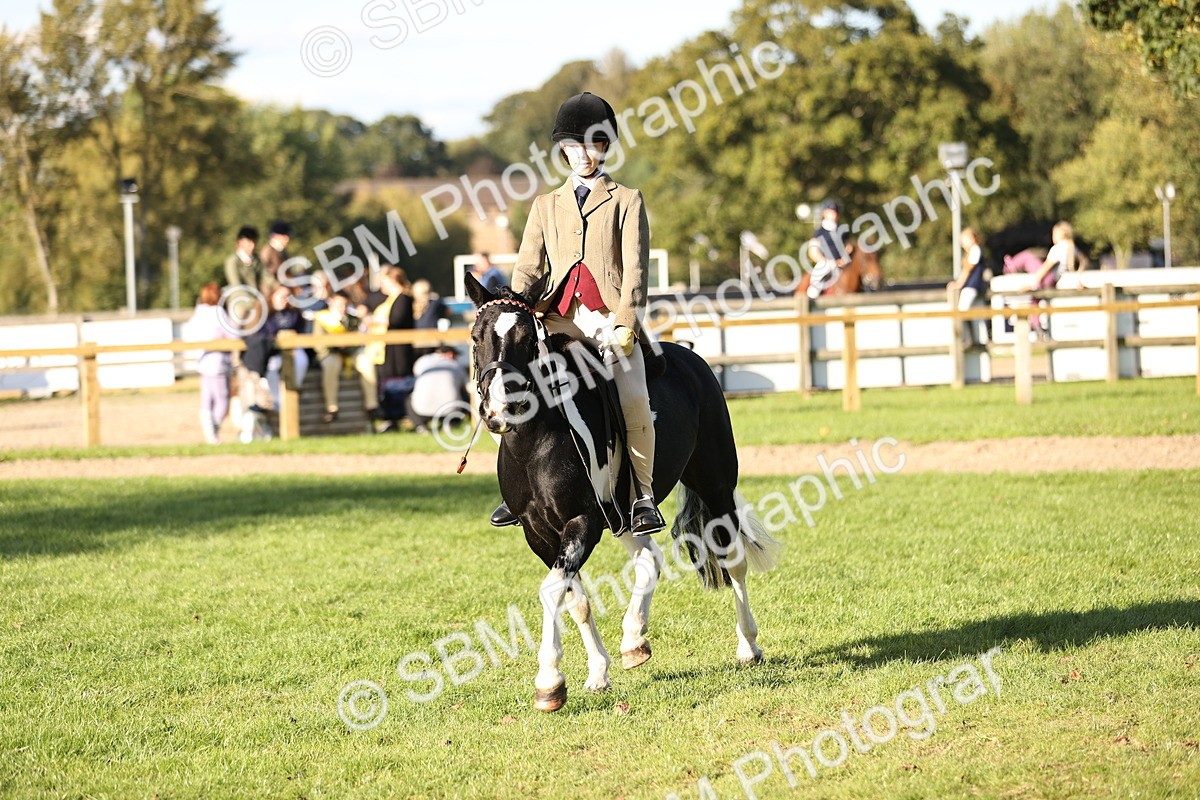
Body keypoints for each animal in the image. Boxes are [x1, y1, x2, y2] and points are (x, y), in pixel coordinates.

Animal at [464, 272, 780, 712]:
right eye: (476, 336)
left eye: (528, 338)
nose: (498, 411)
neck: (535, 441)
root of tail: (690, 358)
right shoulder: (539, 532)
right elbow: (574, 598)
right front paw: (596, 673)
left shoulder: (582, 522)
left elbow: (550, 591)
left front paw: (548, 680)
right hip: (624, 515)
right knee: (650, 558)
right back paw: (634, 639)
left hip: (716, 487)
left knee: (733, 560)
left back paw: (748, 646)